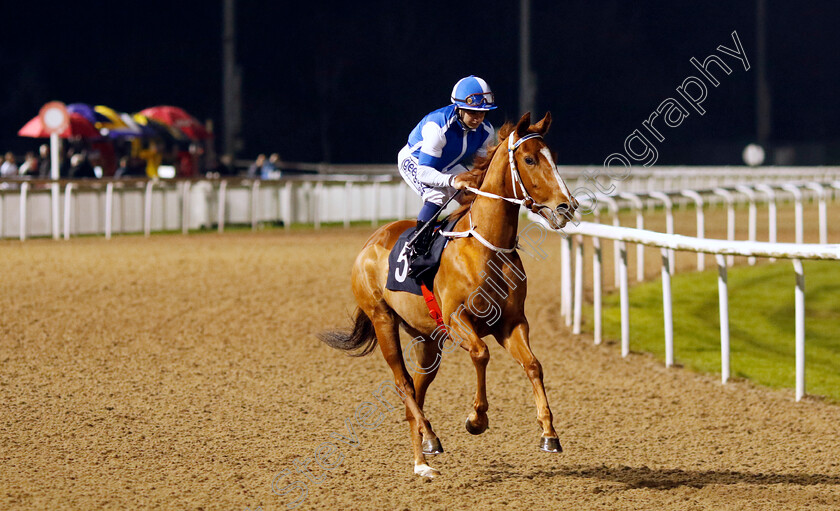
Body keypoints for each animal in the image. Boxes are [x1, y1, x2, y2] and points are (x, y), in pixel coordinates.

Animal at [318, 113, 576, 480]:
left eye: (553, 156)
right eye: (529, 159)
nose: (566, 207)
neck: (485, 246)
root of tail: (371, 241)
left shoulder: (512, 322)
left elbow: (533, 365)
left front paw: (549, 433)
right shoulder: (457, 320)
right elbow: (481, 354)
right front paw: (476, 419)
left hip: (427, 338)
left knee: (418, 386)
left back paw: (423, 453)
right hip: (383, 320)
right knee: (403, 384)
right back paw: (427, 445)